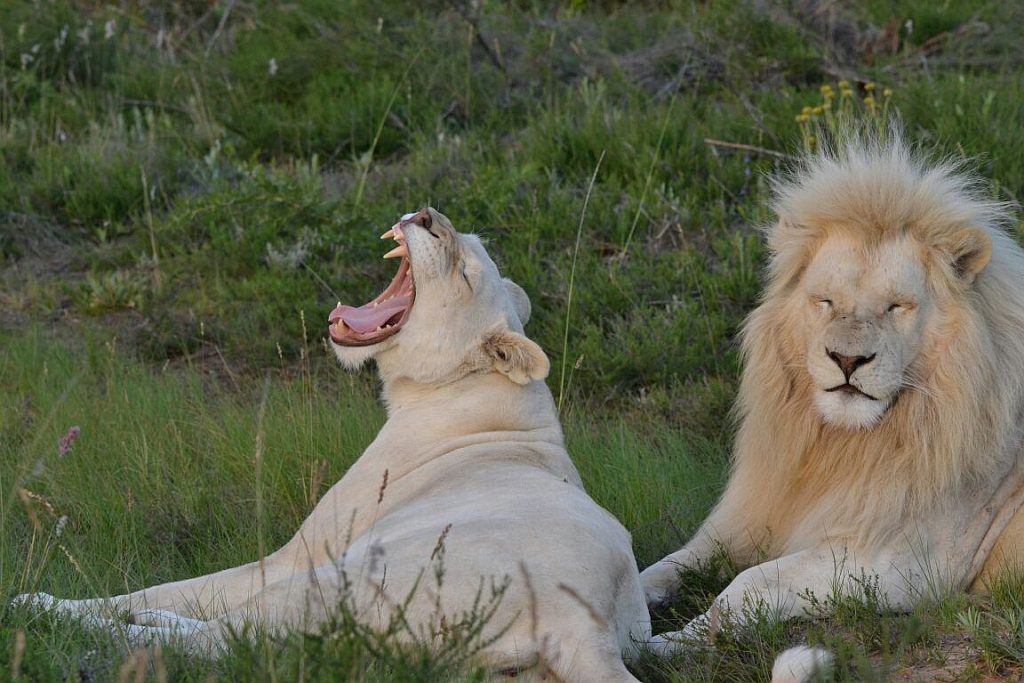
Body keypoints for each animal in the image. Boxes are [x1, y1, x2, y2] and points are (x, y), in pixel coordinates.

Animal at [16, 208, 651, 682]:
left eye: (465, 270)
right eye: (464, 238)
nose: (425, 214)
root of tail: (582, 623)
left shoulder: (299, 553)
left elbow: (188, 587)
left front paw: (68, 602)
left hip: (351, 578)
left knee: (225, 639)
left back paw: (48, 612)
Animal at [641, 132, 1024, 679]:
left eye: (896, 306)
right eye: (824, 301)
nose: (847, 359)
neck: (835, 447)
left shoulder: (909, 562)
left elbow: (745, 586)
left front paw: (667, 643)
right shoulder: (757, 512)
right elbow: (665, 562)